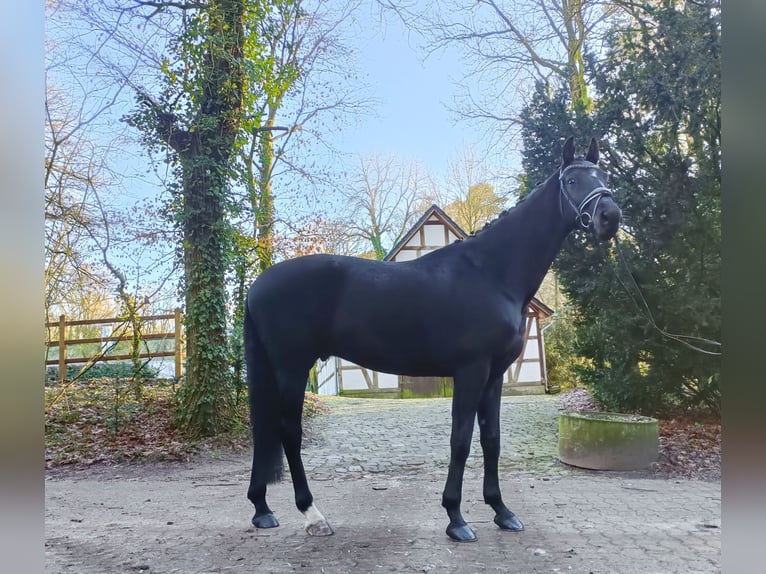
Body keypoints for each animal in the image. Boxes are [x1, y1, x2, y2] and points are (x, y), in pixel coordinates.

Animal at [246, 137, 624, 544]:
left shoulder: (495, 376)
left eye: (604, 176)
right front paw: (456, 517)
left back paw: (262, 509)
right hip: (292, 367)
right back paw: (312, 515)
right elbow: (461, 440)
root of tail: (258, 285)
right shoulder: (471, 371)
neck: (491, 273)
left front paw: (502, 511)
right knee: (288, 431)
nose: (610, 217)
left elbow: (491, 440)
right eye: (571, 180)